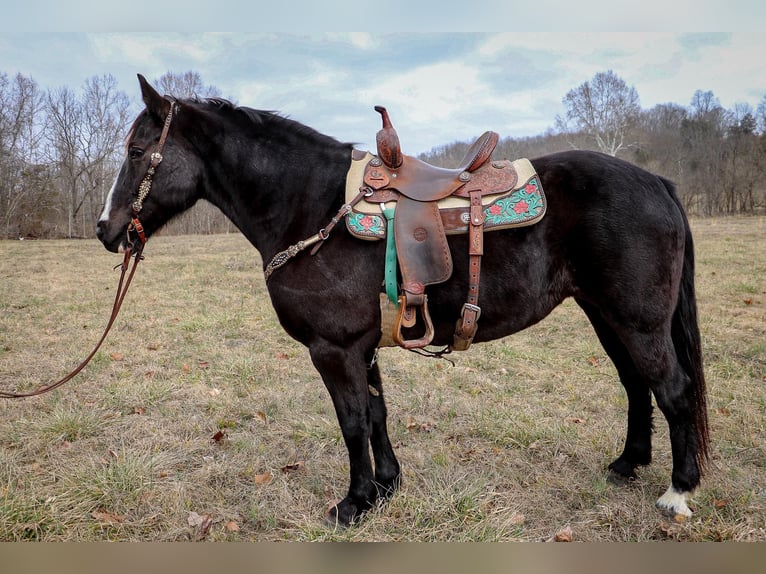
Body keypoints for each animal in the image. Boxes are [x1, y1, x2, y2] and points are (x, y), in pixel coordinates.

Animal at [99, 76, 712, 532]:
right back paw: (627, 464)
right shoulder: (363, 345)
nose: (106, 230)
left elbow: (351, 421)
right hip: (606, 316)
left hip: (637, 321)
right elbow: (376, 414)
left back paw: (678, 493)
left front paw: (353, 503)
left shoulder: (335, 348)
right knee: (637, 386)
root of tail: (657, 182)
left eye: (136, 151)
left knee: (672, 389)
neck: (309, 207)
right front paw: (387, 487)